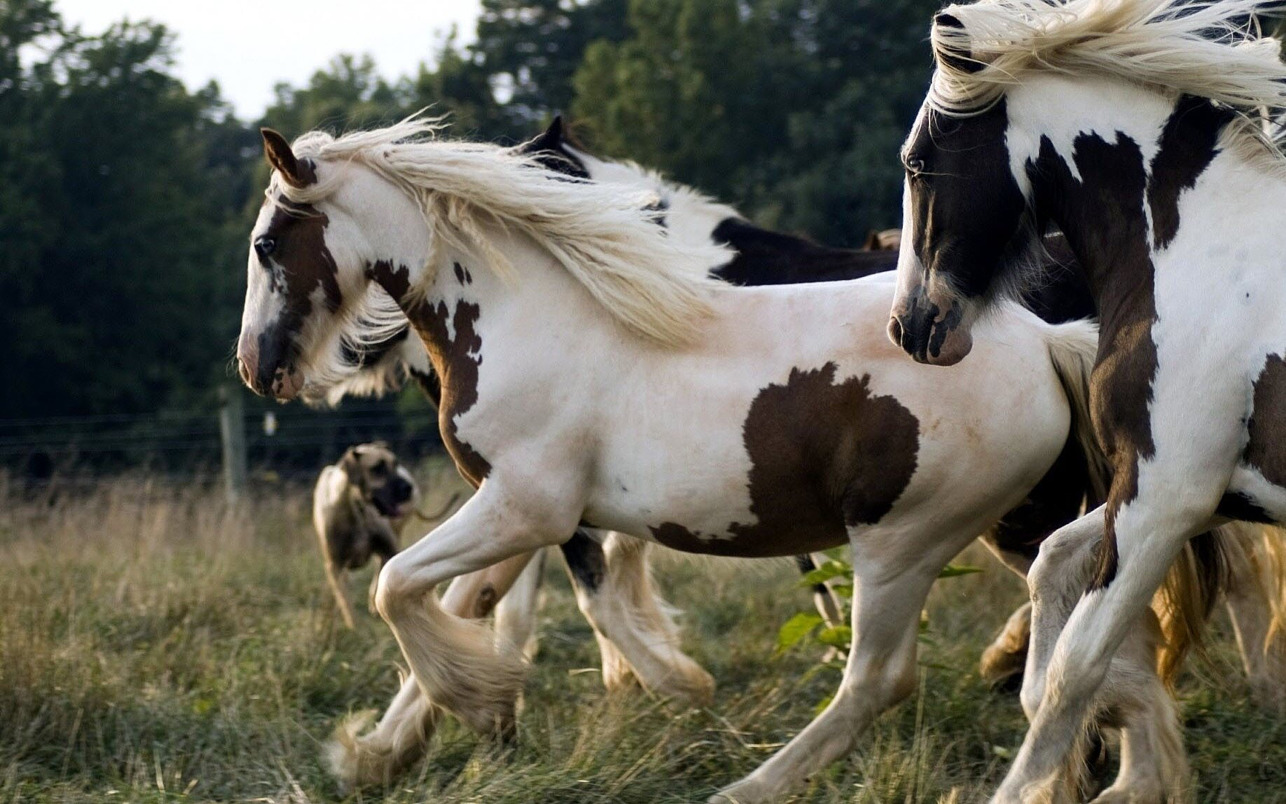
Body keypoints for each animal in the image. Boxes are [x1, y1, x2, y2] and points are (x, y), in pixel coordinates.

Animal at [895, 3, 1286, 797]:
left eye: (917, 163)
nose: (910, 325)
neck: (1206, 258)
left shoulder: (1165, 499)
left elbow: (1073, 670)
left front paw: (1038, 783)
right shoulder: (1203, 491)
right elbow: (1050, 566)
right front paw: (1106, 742)